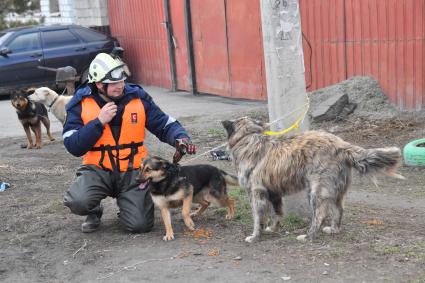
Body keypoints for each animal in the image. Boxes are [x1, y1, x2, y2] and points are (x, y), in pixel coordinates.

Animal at [222, 117, 404, 244]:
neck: (248, 137)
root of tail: (341, 145)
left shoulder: (256, 193)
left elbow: (257, 219)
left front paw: (254, 236)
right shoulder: (274, 194)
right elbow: (277, 213)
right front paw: (273, 228)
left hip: (316, 191)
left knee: (319, 216)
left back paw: (308, 236)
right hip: (335, 192)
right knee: (338, 210)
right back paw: (334, 230)